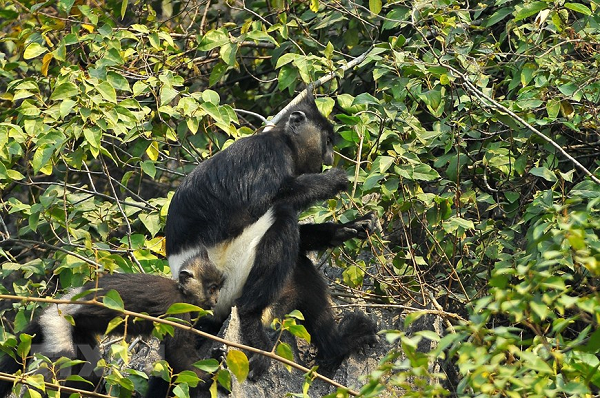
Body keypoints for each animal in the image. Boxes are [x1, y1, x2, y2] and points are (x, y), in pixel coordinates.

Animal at [0, 253, 224, 398]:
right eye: (212, 289)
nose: (216, 300)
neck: (181, 291)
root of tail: (59, 304)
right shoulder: (176, 307)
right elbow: (178, 350)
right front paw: (211, 378)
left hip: (75, 329)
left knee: (88, 370)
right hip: (56, 323)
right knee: (62, 361)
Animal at [165, 92, 376, 380]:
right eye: (328, 140)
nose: (330, 157)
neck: (283, 140)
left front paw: (347, 229)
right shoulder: (268, 153)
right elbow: (259, 203)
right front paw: (333, 180)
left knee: (299, 266)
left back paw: (336, 346)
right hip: (226, 277)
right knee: (282, 217)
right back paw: (251, 321)